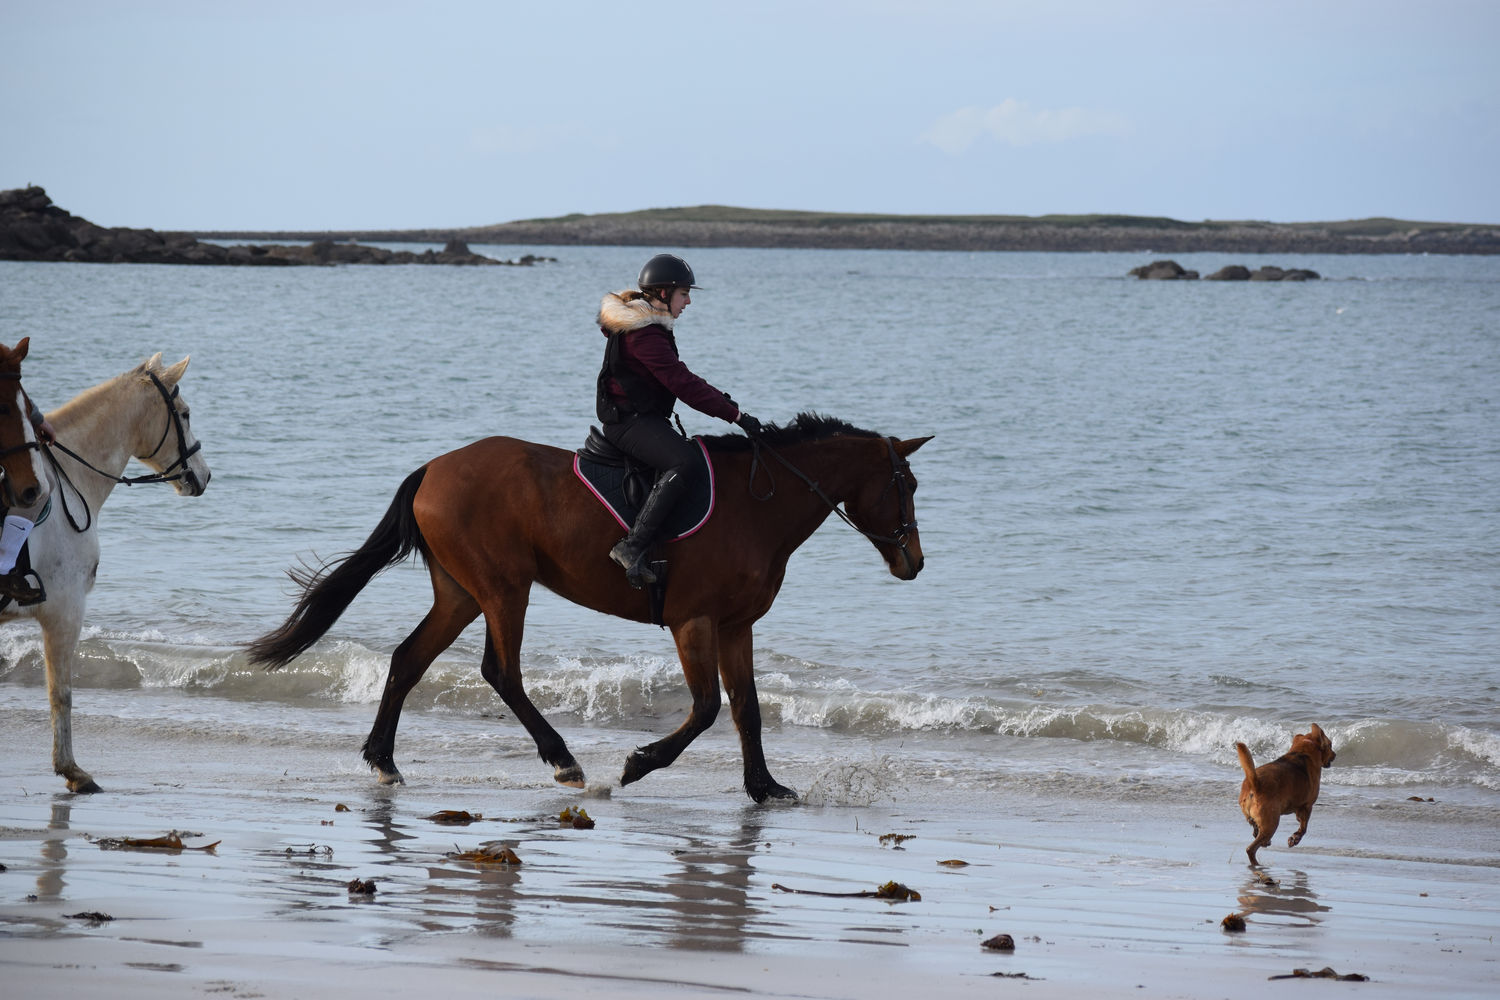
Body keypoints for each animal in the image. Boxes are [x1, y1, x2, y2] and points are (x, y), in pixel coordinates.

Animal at [249, 413, 924, 803]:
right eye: (908, 485)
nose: (913, 563)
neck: (756, 505)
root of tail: (434, 468)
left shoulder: (736, 627)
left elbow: (747, 711)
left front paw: (765, 787)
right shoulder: (694, 622)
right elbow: (707, 708)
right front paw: (638, 764)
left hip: (462, 592)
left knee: (408, 660)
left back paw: (384, 762)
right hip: (503, 589)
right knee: (501, 671)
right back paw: (565, 762)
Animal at [1242, 722, 1338, 863]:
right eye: (1330, 745)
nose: (1335, 754)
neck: (1302, 750)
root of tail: (1254, 784)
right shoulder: (1307, 806)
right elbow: (1303, 827)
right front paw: (1295, 838)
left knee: (1255, 832)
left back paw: (1264, 842)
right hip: (1272, 822)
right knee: (1251, 848)